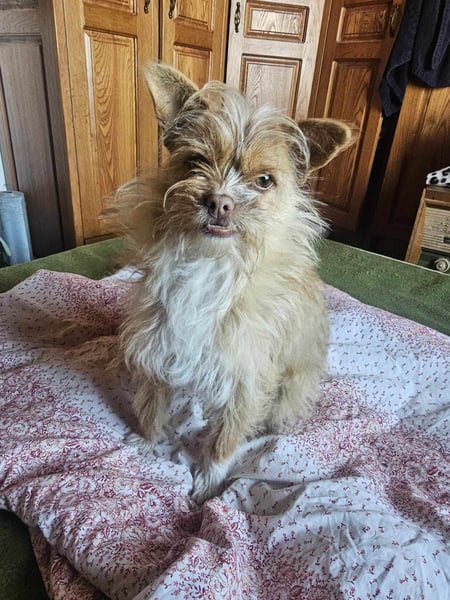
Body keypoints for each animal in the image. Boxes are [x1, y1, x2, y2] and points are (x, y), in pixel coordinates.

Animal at [115, 63, 353, 502]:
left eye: (264, 181)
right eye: (195, 162)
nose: (219, 202)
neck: (210, 261)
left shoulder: (247, 374)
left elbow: (226, 435)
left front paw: (209, 481)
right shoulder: (158, 342)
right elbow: (152, 402)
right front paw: (148, 441)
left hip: (290, 389)